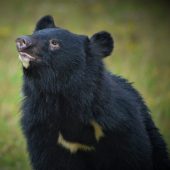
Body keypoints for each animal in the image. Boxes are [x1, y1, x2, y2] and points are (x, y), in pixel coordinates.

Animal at [15, 15, 169, 169]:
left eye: (54, 43)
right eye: (35, 34)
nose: (21, 41)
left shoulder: (121, 126)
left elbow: (133, 156)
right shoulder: (43, 132)